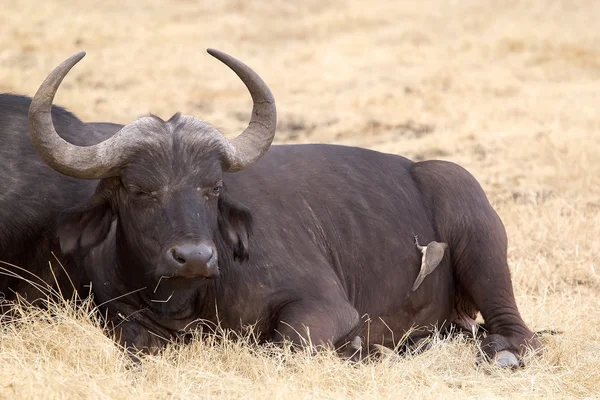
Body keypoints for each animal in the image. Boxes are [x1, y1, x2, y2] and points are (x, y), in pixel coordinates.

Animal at [1, 50, 540, 368]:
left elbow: (281, 346)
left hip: (477, 230)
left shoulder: (324, 307)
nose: (194, 257)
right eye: (138, 189)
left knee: (516, 329)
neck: (187, 299)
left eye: (213, 187)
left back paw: (502, 353)